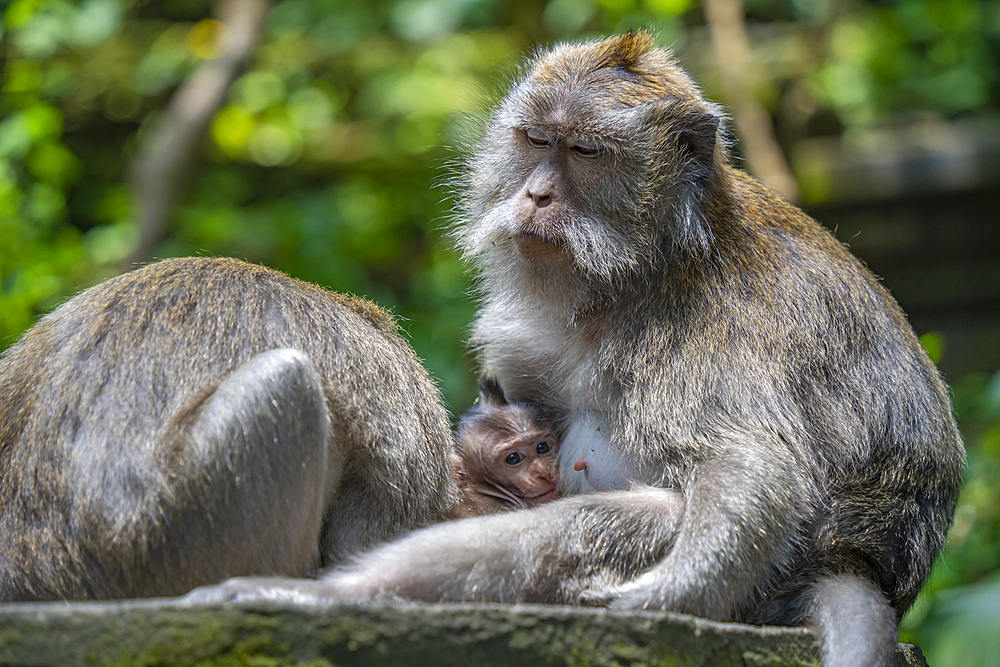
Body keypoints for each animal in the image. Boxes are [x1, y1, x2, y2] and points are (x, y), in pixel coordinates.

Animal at [186, 34, 960, 667]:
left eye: (586, 151)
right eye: (535, 140)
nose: (535, 194)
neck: (640, 272)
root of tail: (860, 562)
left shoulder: (723, 327)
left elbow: (756, 468)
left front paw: (666, 597)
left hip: (772, 581)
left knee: (626, 520)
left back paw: (328, 596)